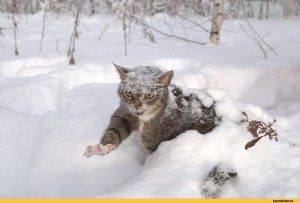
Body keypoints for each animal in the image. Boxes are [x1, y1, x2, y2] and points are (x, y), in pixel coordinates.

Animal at [84, 63, 218, 157]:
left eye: (149, 95)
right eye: (129, 93)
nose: (137, 106)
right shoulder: (125, 112)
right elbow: (116, 129)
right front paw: (101, 148)